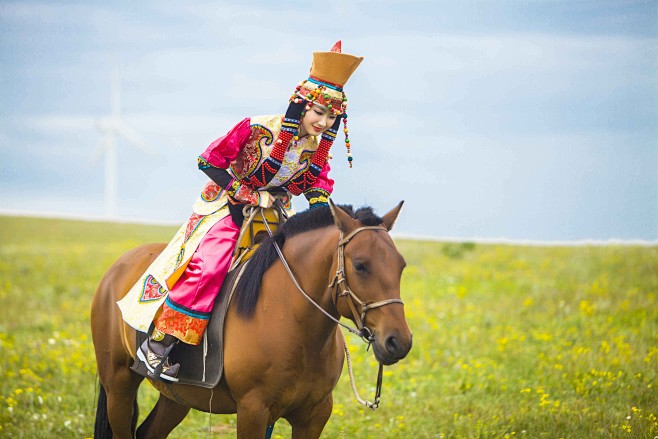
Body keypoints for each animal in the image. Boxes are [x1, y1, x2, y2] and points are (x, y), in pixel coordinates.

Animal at [91, 202, 410, 436]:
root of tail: (117, 269)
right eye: (360, 265)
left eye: (401, 265)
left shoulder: (315, 414)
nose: (399, 342)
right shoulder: (253, 411)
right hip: (118, 384)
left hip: (177, 397)